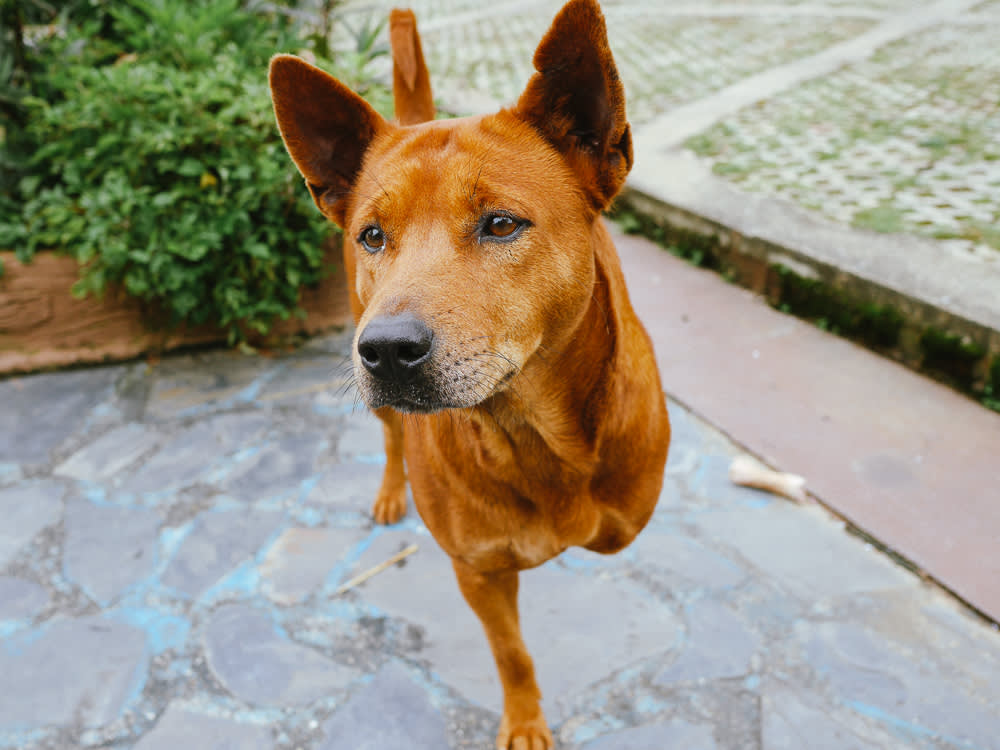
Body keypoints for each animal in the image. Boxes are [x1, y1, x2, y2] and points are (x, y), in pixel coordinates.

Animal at [270, 2, 668, 748]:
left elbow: (610, 529)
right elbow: (511, 652)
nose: (386, 349)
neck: (530, 431)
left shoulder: (627, 516)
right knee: (391, 437)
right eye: (373, 236)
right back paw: (391, 490)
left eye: (501, 224)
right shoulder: (477, 571)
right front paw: (525, 721)